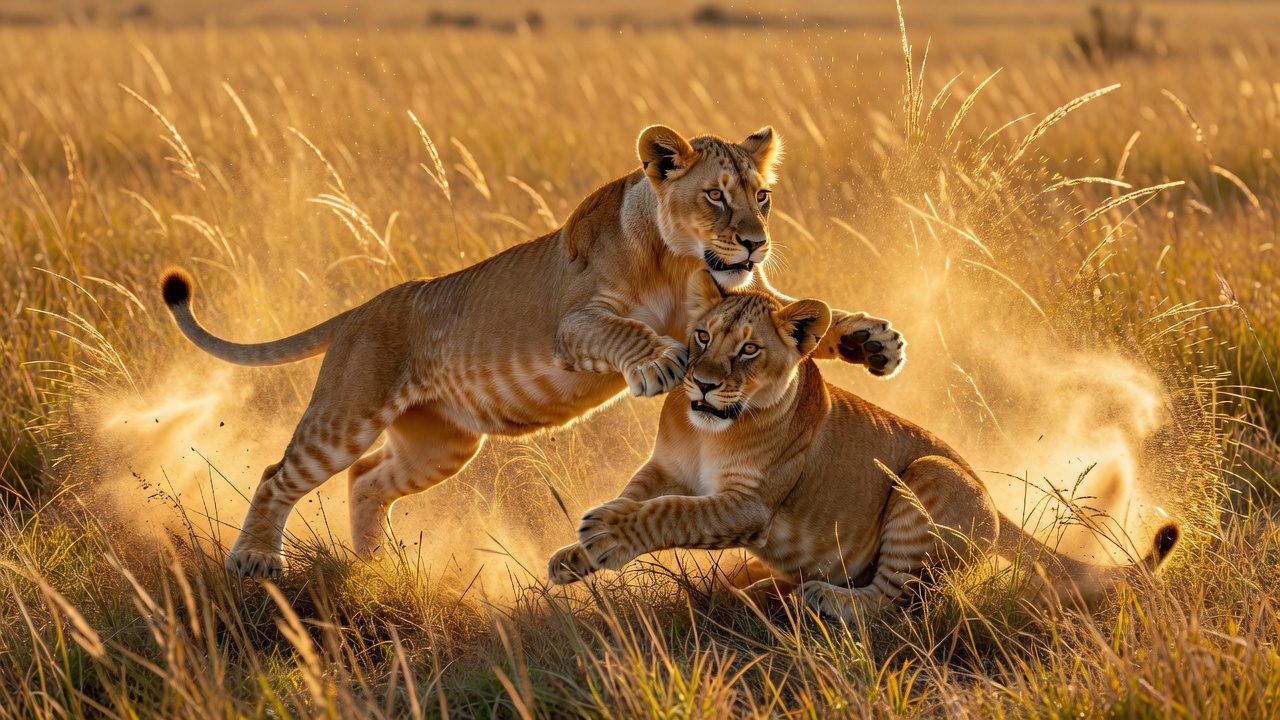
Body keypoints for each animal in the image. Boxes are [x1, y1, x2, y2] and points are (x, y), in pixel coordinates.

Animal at [161, 125, 907, 579]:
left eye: (764, 197)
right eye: (717, 196)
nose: (755, 243)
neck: (676, 262)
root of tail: (365, 307)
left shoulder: (730, 300)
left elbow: (798, 311)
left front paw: (872, 341)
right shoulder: (573, 327)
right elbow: (627, 334)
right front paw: (661, 365)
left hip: (443, 445)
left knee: (368, 480)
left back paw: (378, 568)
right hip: (347, 413)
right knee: (278, 474)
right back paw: (256, 560)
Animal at [547, 273, 1180, 620]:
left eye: (749, 350)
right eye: (701, 336)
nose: (700, 383)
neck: (710, 431)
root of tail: (998, 508)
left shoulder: (748, 505)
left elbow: (670, 514)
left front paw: (606, 535)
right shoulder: (664, 467)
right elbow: (638, 497)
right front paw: (574, 556)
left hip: (930, 473)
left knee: (890, 602)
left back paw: (820, 599)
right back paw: (764, 590)